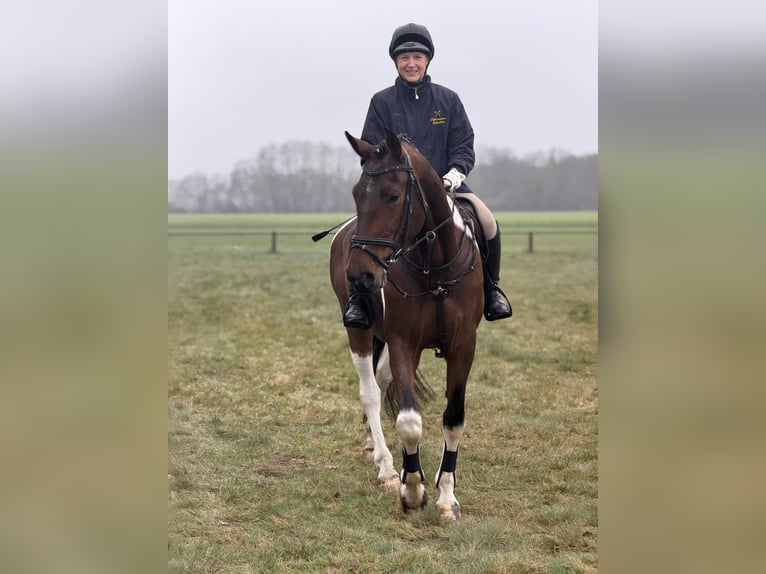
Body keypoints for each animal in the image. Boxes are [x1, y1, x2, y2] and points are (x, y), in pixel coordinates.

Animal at [329, 129, 485, 520]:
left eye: (393, 195)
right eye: (356, 193)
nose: (359, 275)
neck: (435, 268)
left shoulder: (464, 345)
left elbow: (453, 418)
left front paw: (447, 498)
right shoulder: (403, 342)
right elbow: (409, 422)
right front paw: (411, 488)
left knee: (382, 381)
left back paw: (375, 447)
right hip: (359, 331)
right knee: (370, 391)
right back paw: (385, 466)